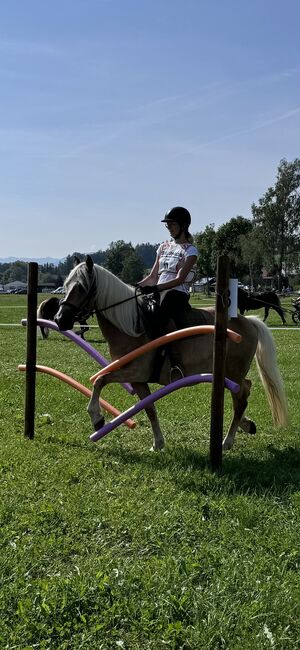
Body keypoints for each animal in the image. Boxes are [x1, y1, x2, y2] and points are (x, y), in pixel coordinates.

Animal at [48, 254, 288, 450]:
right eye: (66, 285)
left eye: (81, 287)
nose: (60, 319)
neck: (132, 326)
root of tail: (249, 321)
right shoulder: (138, 380)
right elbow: (149, 409)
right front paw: (158, 442)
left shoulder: (133, 372)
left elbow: (100, 381)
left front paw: (96, 418)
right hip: (230, 373)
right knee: (244, 390)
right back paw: (246, 425)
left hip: (232, 372)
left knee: (240, 398)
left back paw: (227, 441)